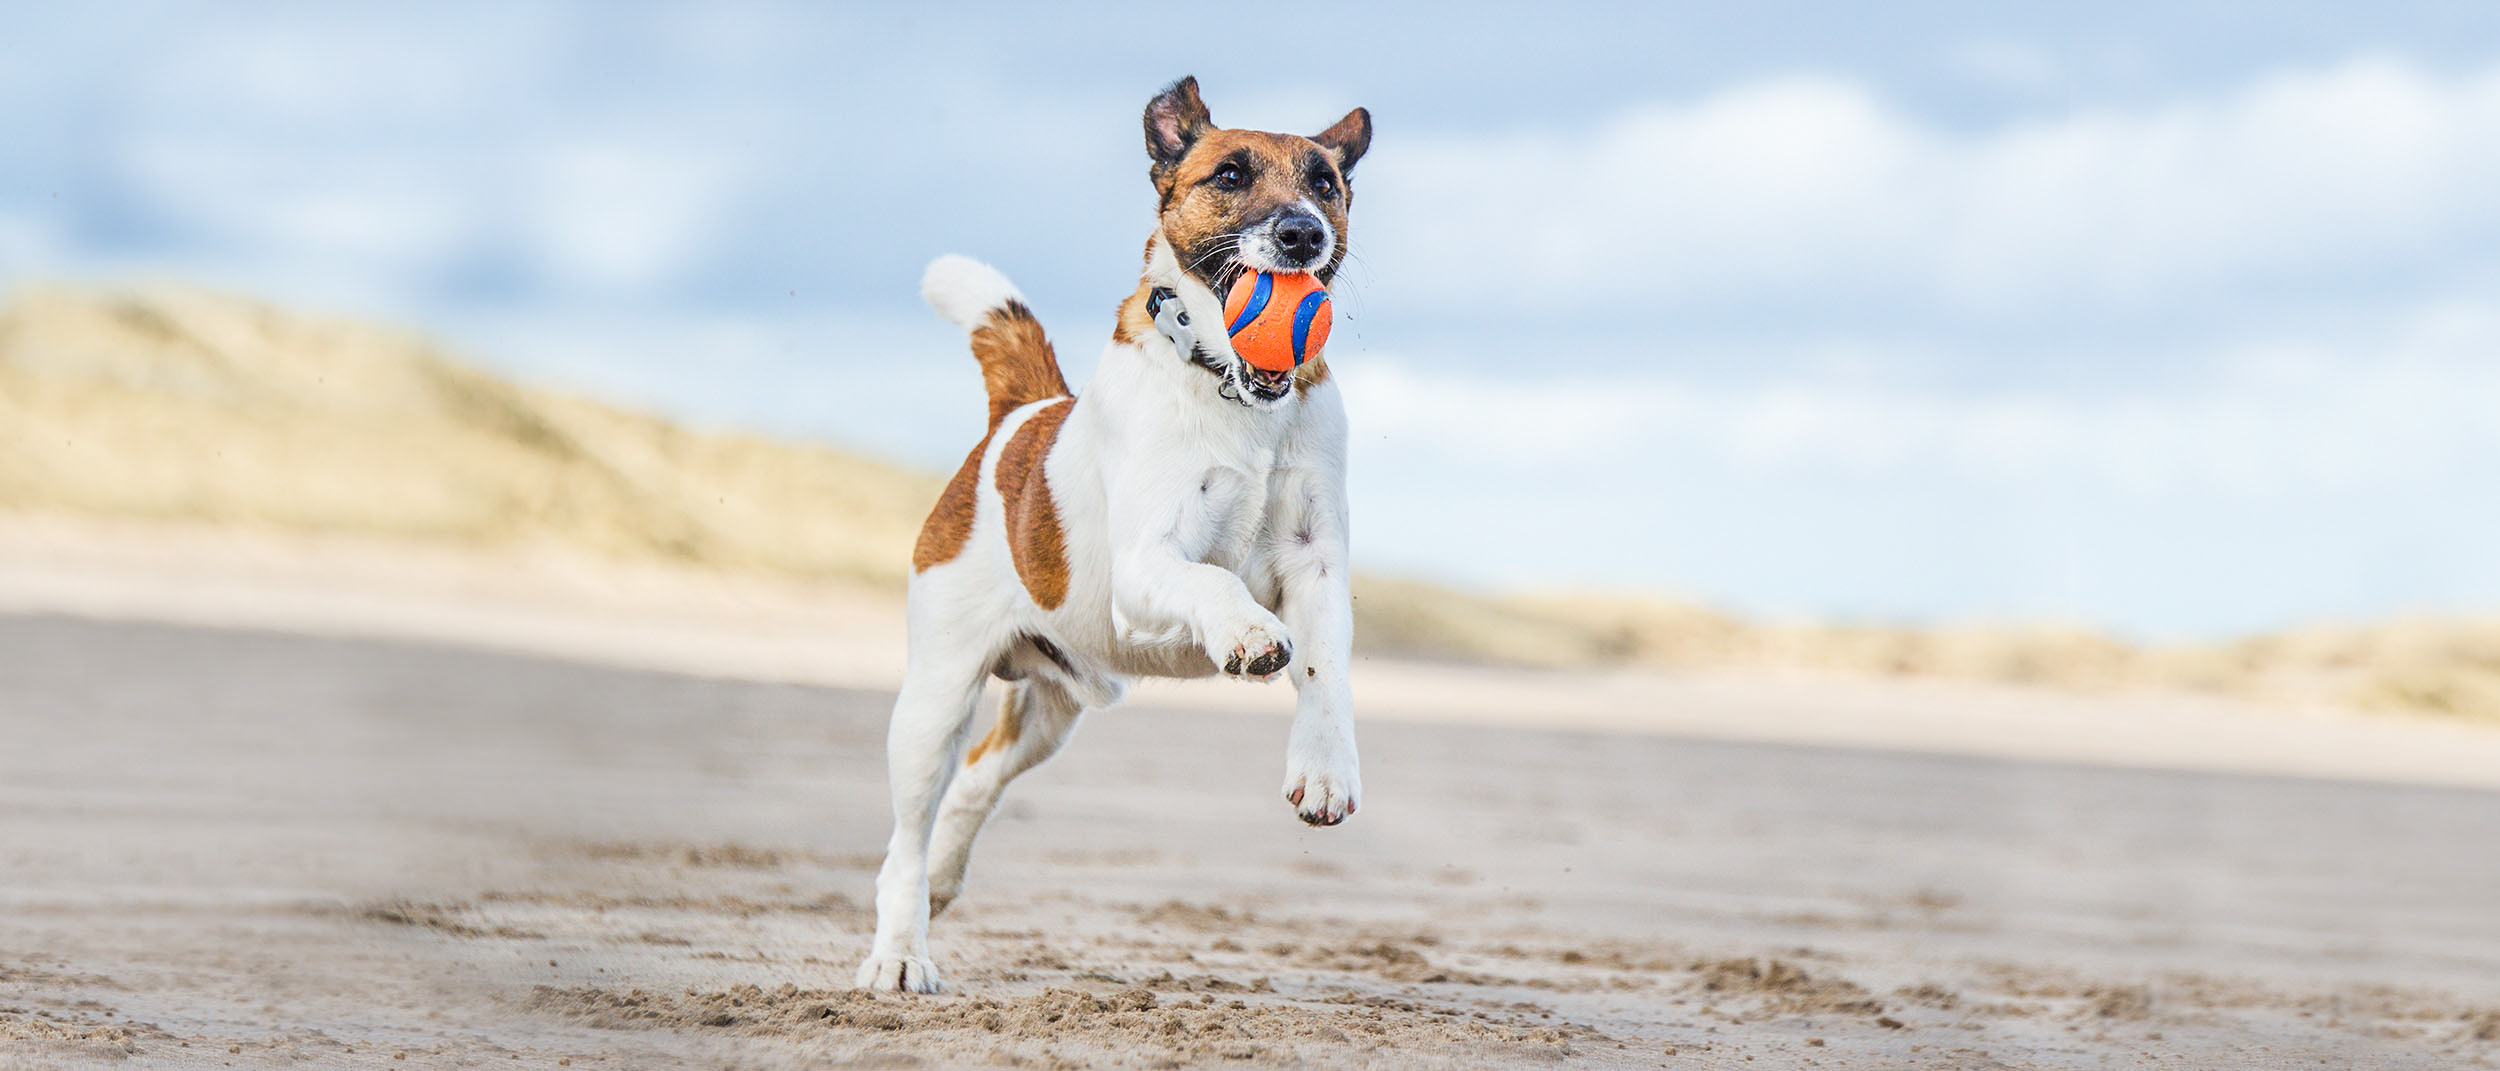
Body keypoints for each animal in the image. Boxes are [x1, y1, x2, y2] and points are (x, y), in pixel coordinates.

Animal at [855, 77, 1370, 995]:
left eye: (1326, 184)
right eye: (1230, 174)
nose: (1303, 235)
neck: (1235, 392)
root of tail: (1017, 416)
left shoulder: (1317, 560)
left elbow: (1322, 668)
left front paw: (1323, 767)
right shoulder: (1147, 562)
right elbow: (1215, 581)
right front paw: (1245, 632)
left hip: (1048, 713)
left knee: (976, 780)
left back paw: (944, 879)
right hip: (934, 699)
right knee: (906, 836)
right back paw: (901, 951)